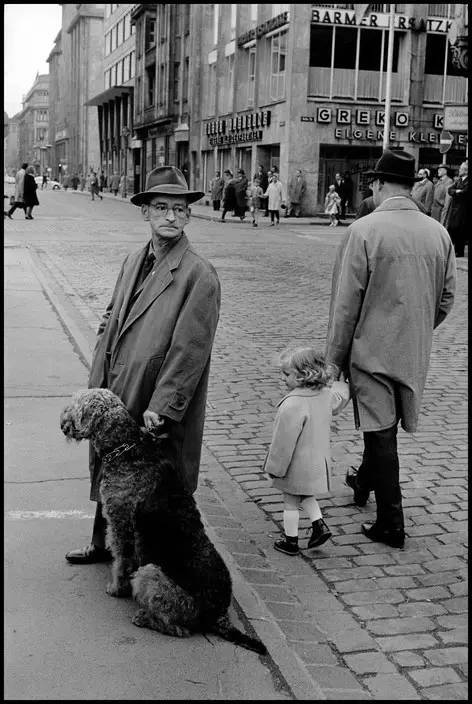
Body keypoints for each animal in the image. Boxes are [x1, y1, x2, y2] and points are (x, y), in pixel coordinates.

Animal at [60, 384, 266, 656]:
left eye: (77, 404)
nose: (62, 421)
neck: (125, 447)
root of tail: (218, 615)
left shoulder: (120, 521)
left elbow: (121, 559)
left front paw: (116, 588)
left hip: (152, 573)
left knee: (178, 627)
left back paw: (144, 617)